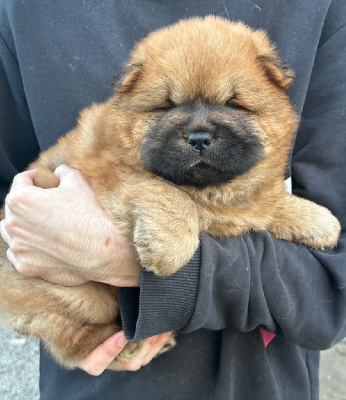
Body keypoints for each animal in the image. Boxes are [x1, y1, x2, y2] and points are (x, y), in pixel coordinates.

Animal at [0, 18, 340, 368]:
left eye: (233, 104)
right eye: (167, 106)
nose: (200, 138)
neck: (209, 190)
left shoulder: (243, 200)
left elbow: (267, 202)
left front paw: (319, 220)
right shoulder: (110, 170)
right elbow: (168, 194)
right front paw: (168, 249)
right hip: (78, 297)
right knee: (72, 341)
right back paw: (128, 347)